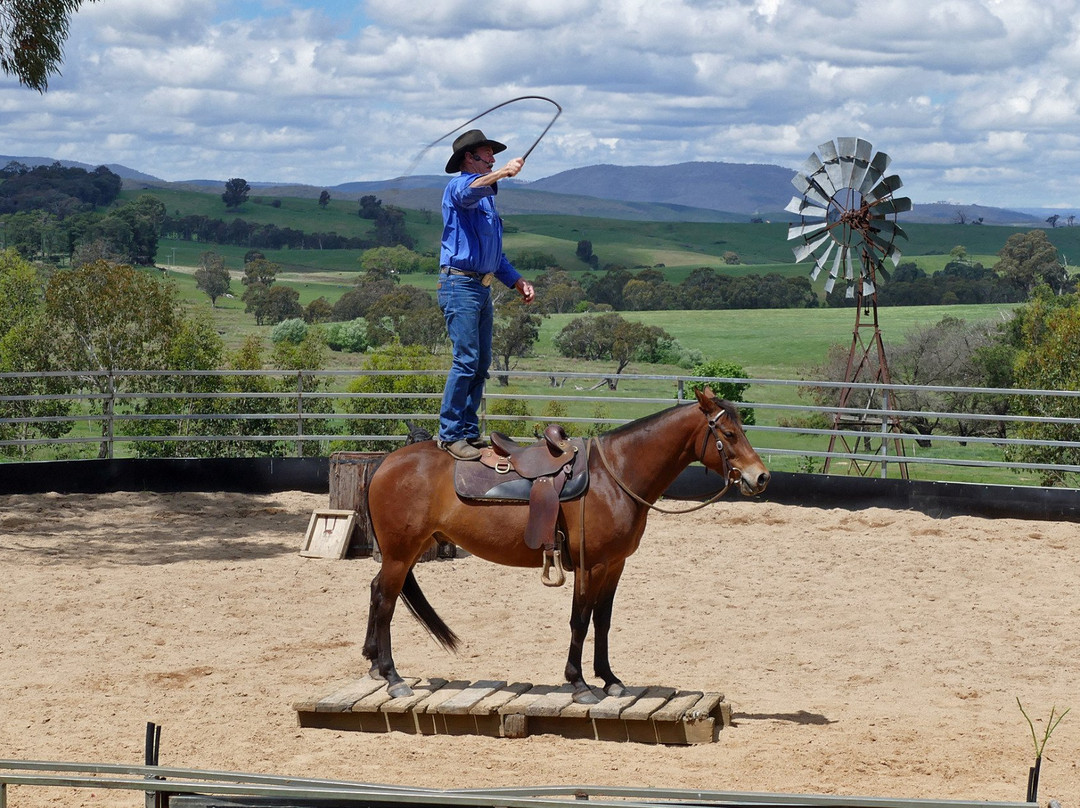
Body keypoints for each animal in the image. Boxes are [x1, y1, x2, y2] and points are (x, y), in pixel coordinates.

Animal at [362, 388, 768, 704]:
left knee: (377, 590)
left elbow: (603, 620)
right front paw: (579, 682)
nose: (760, 477)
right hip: (400, 553)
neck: (614, 476)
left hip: (409, 551)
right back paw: (393, 676)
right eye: (729, 433)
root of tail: (386, 463)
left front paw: (610, 679)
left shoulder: (615, 564)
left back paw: (373, 663)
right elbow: (580, 619)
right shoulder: (591, 565)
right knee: (385, 600)